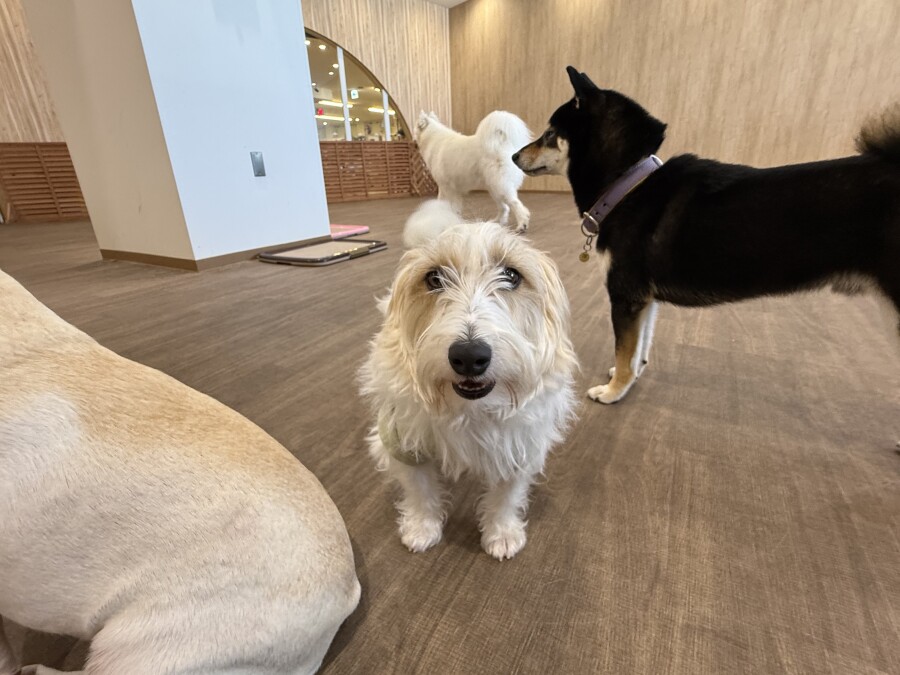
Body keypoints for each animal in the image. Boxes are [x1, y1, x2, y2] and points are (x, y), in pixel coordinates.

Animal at [359, 220, 578, 560]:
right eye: (434, 278)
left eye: (512, 276)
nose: (469, 356)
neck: (470, 410)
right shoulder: (402, 440)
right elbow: (419, 489)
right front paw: (422, 527)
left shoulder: (522, 445)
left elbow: (507, 495)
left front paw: (501, 532)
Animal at [514, 66, 900, 404]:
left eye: (550, 134)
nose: (515, 155)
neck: (628, 186)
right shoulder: (644, 300)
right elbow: (638, 350)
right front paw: (627, 380)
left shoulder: (626, 296)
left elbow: (625, 351)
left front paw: (612, 392)